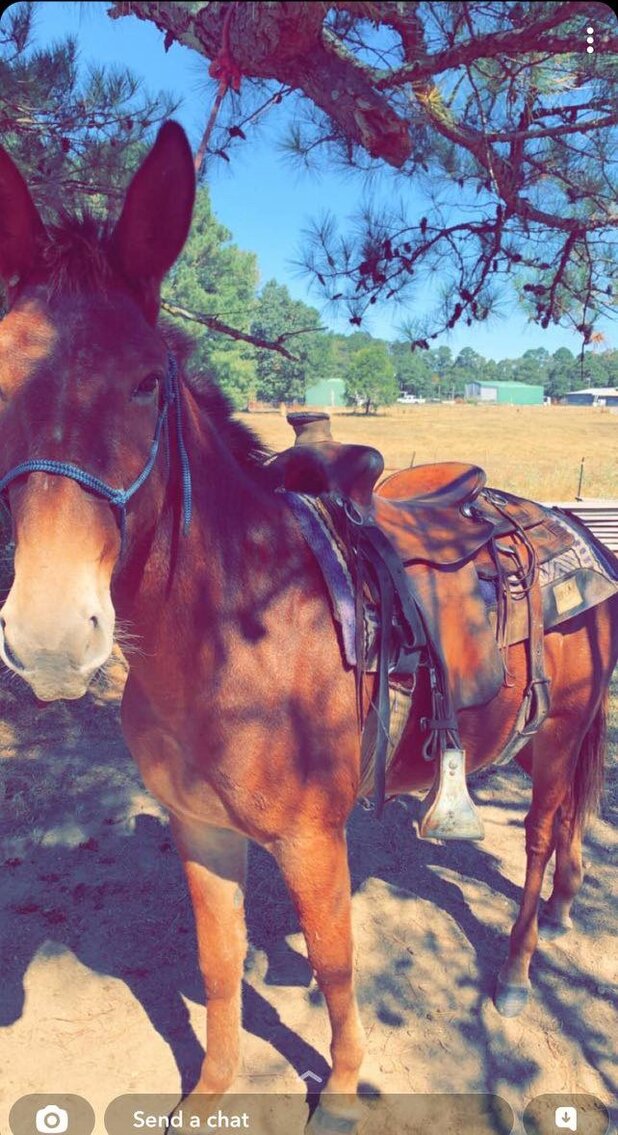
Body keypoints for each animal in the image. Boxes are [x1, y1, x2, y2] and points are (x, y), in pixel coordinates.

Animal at [0, 124, 616, 1133]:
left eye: (145, 383)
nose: (52, 636)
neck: (229, 636)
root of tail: (571, 529)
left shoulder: (309, 840)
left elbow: (334, 963)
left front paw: (342, 1086)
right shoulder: (200, 829)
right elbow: (218, 963)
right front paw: (212, 1089)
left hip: (560, 731)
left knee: (534, 841)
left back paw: (520, 969)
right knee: (563, 825)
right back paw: (565, 908)